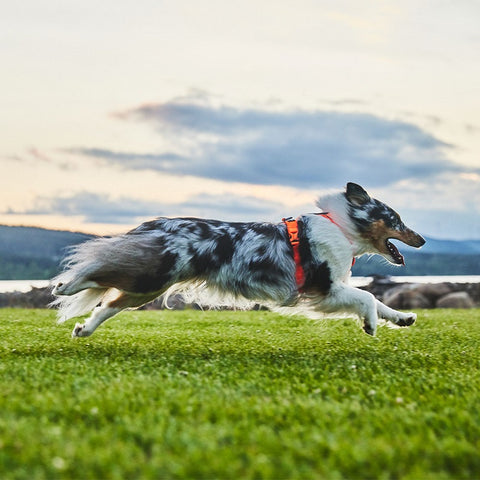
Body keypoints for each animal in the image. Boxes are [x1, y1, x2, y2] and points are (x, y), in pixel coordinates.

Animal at [52, 183, 426, 338]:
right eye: (396, 219)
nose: (422, 240)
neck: (342, 226)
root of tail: (152, 224)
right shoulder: (325, 290)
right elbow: (368, 297)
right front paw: (370, 325)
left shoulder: (329, 292)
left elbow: (379, 300)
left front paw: (403, 318)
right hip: (153, 273)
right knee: (96, 269)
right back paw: (64, 286)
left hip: (148, 287)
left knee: (108, 303)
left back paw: (84, 329)